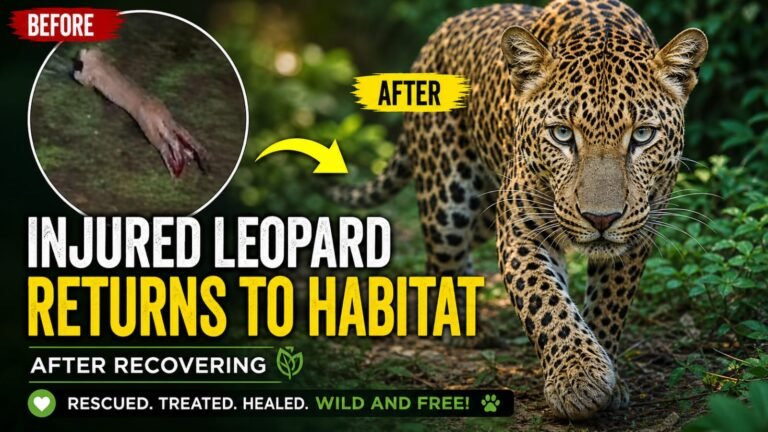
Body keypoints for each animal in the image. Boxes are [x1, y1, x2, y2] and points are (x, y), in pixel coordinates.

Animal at [329, 0, 707, 420]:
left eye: (642, 135)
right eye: (562, 134)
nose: (601, 219)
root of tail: (441, 32)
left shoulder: (636, 234)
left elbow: (609, 304)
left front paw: (608, 373)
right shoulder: (521, 230)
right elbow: (546, 303)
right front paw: (579, 378)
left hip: (484, 209)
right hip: (447, 201)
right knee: (442, 261)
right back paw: (462, 327)